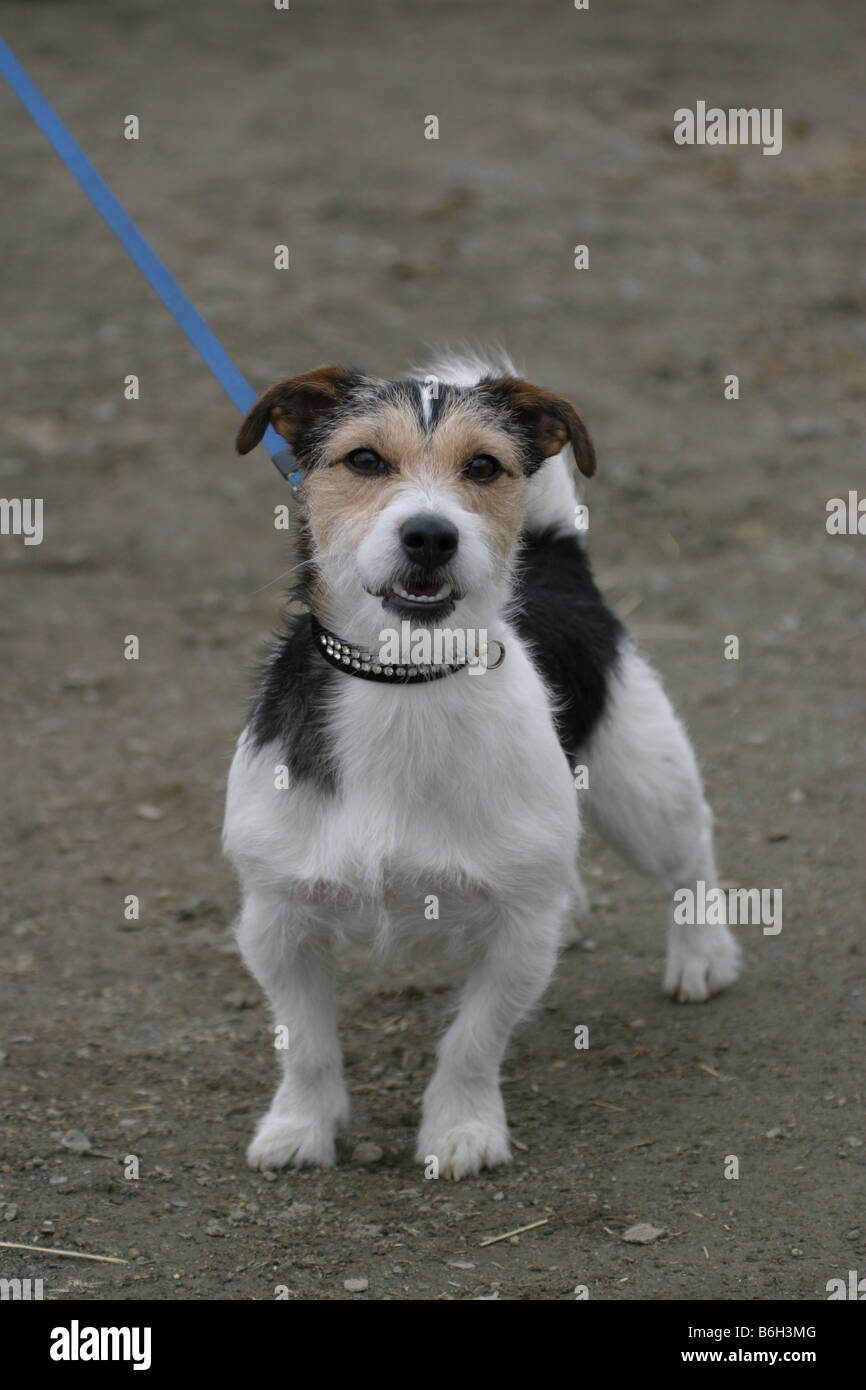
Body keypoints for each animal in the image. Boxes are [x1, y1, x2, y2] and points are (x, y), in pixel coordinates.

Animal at [219, 353, 739, 1178]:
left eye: (485, 467)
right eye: (364, 460)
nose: (430, 534)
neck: (405, 682)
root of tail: (558, 559)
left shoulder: (517, 932)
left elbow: (472, 1041)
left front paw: (461, 1130)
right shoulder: (277, 919)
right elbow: (304, 1043)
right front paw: (301, 1126)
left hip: (641, 788)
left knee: (692, 851)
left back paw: (702, 953)